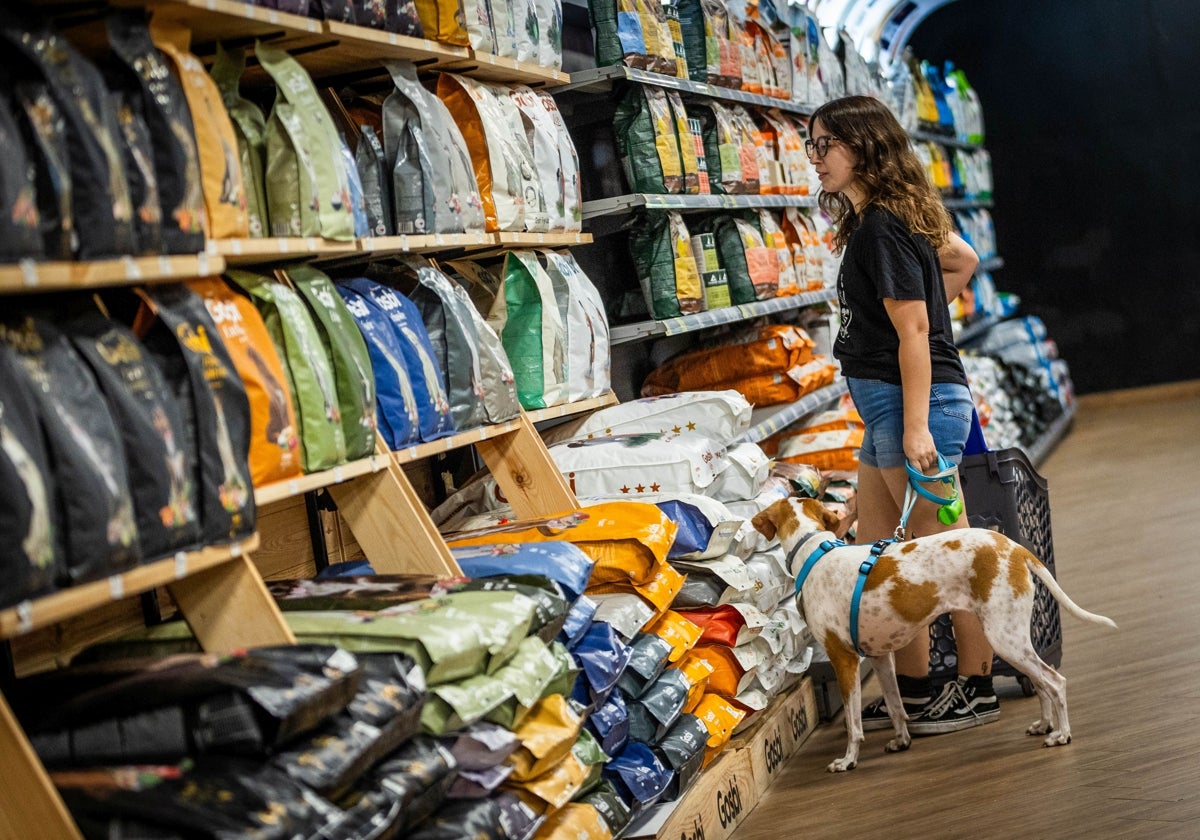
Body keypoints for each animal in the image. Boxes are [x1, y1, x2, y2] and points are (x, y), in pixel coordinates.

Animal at [748, 494, 1113, 772]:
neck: (814, 551)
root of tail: (1013, 546)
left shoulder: (844, 660)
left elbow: (853, 724)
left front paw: (848, 760)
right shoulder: (880, 657)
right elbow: (896, 706)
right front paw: (901, 741)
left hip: (1004, 639)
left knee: (1055, 682)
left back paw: (1062, 734)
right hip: (1014, 639)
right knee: (1041, 683)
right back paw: (1044, 725)